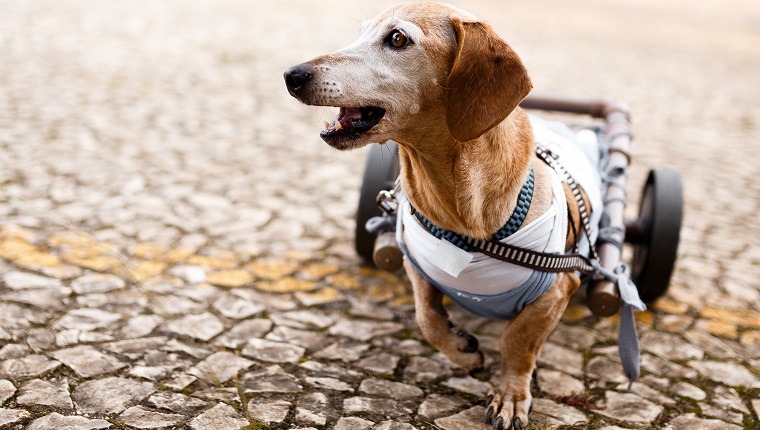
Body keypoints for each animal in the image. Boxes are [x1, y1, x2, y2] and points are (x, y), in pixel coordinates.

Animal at [282, 2, 604, 426]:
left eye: (397, 38)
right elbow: (428, 318)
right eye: (361, 32)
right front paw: (462, 351)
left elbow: (518, 339)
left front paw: (510, 393)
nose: (292, 75)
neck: (462, 217)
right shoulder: (415, 264)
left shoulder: (560, 286)